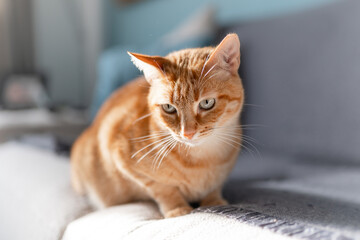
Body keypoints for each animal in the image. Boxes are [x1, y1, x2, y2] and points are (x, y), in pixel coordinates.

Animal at [70, 33, 245, 218]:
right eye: (168, 107)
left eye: (206, 103)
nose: (187, 133)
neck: (203, 159)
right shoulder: (119, 151)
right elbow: (163, 189)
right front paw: (177, 208)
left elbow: (214, 187)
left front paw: (214, 201)